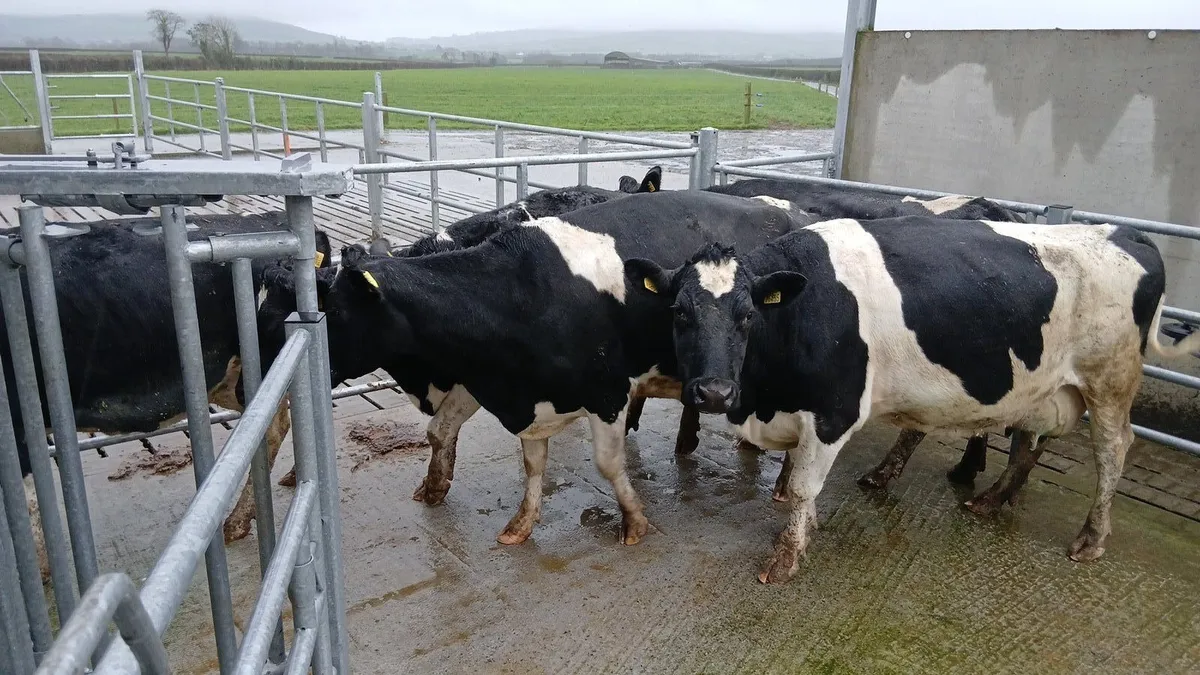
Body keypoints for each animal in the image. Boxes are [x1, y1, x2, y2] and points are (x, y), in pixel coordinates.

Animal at [256, 190, 805, 545]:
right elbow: (521, 460)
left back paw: (780, 483)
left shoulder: (605, 391)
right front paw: (515, 522)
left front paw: (634, 523)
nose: (255, 382)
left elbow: (608, 464)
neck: (516, 293)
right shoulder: (512, 388)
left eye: (332, 311)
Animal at [624, 216, 1200, 583]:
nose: (714, 391)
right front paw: (806, 533)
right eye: (679, 313)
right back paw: (991, 500)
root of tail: (1127, 232)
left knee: (1111, 451)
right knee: (1032, 440)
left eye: (747, 316)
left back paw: (1091, 538)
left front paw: (788, 556)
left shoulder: (834, 412)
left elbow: (806, 486)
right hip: (1047, 384)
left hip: (1110, 379)